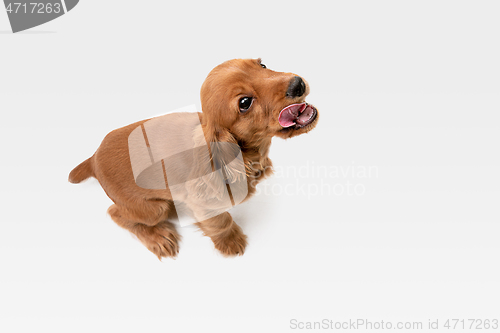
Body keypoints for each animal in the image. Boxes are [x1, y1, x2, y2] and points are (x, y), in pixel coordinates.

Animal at [68, 58, 318, 258]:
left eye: (262, 65)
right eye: (245, 103)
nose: (297, 84)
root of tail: (93, 158)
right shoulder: (203, 206)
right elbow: (221, 222)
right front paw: (231, 242)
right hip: (152, 209)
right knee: (117, 214)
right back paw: (158, 237)